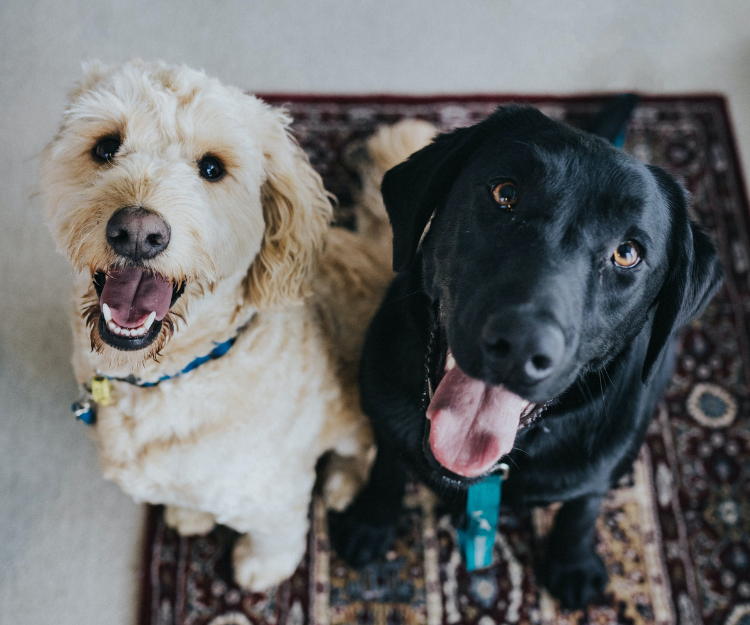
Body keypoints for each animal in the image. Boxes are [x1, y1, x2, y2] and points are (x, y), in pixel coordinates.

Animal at [41, 59, 438, 588]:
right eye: (106, 146)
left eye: (212, 168)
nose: (138, 232)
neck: (173, 375)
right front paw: (190, 514)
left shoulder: (274, 489)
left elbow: (276, 534)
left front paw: (260, 568)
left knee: (363, 450)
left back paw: (341, 483)